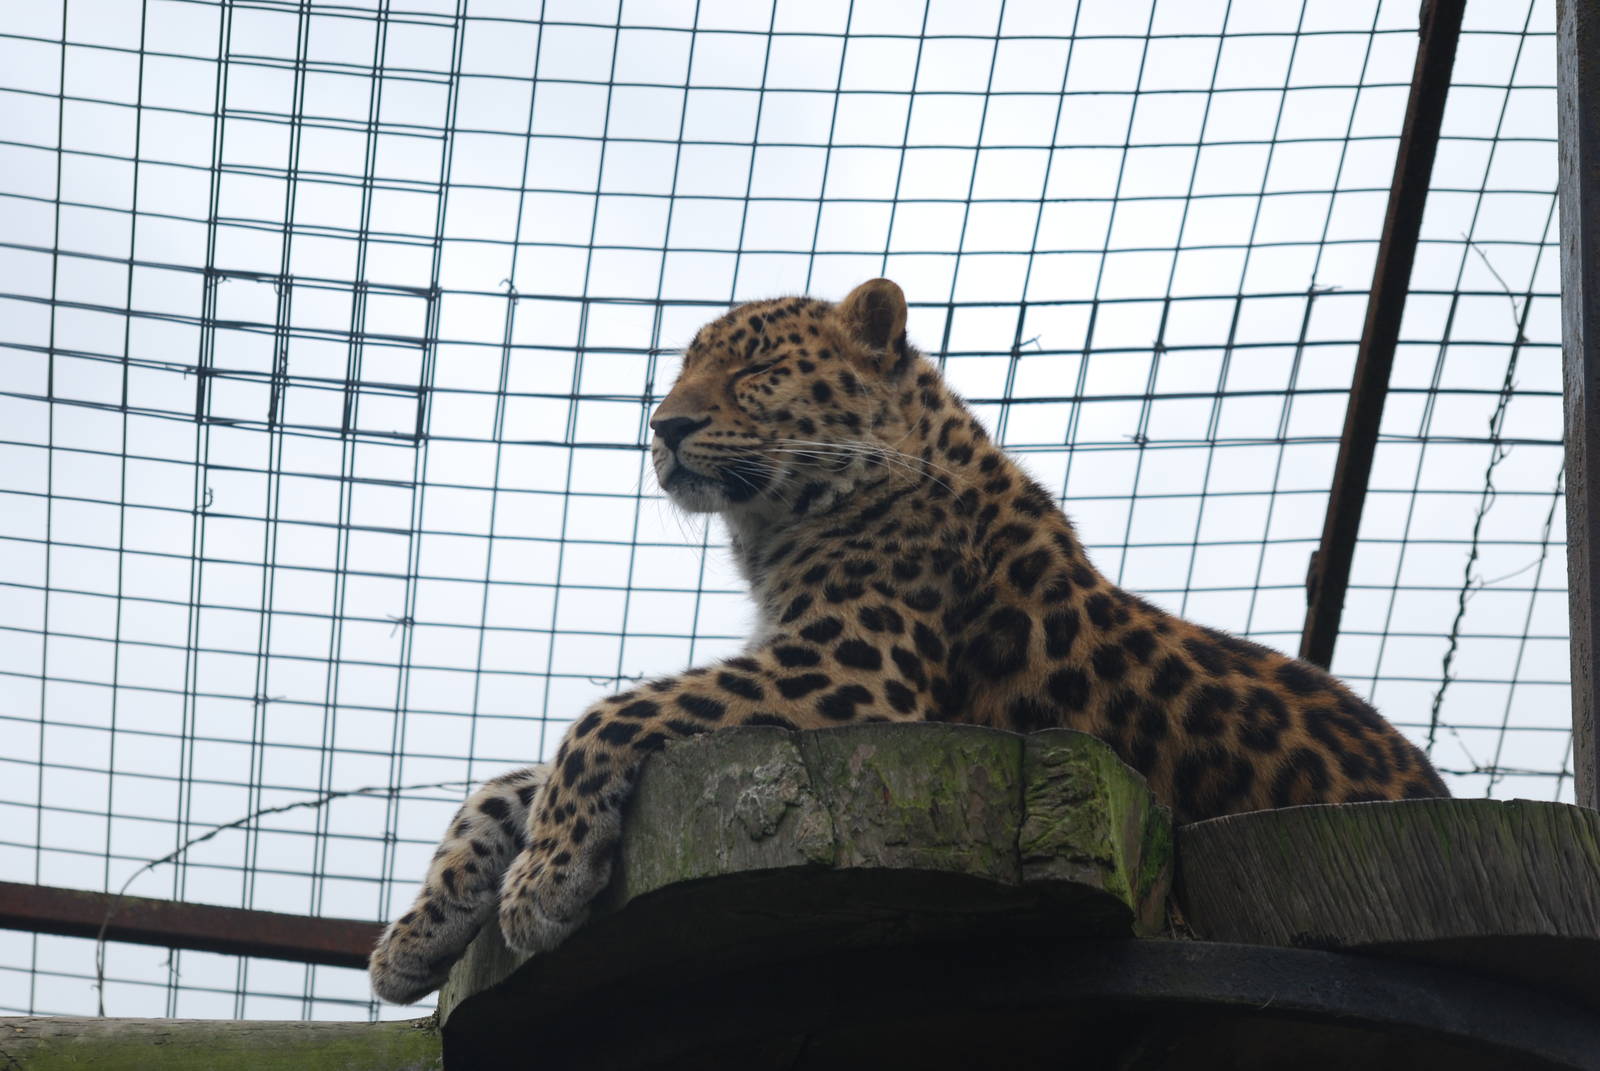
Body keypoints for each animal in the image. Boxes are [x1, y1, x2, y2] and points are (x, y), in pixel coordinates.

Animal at [368, 278, 1448, 1004]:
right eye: (684, 367)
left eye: (756, 367)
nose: (664, 426)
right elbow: (507, 781)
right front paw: (416, 936)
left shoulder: (849, 669)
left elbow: (607, 714)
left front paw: (539, 886)